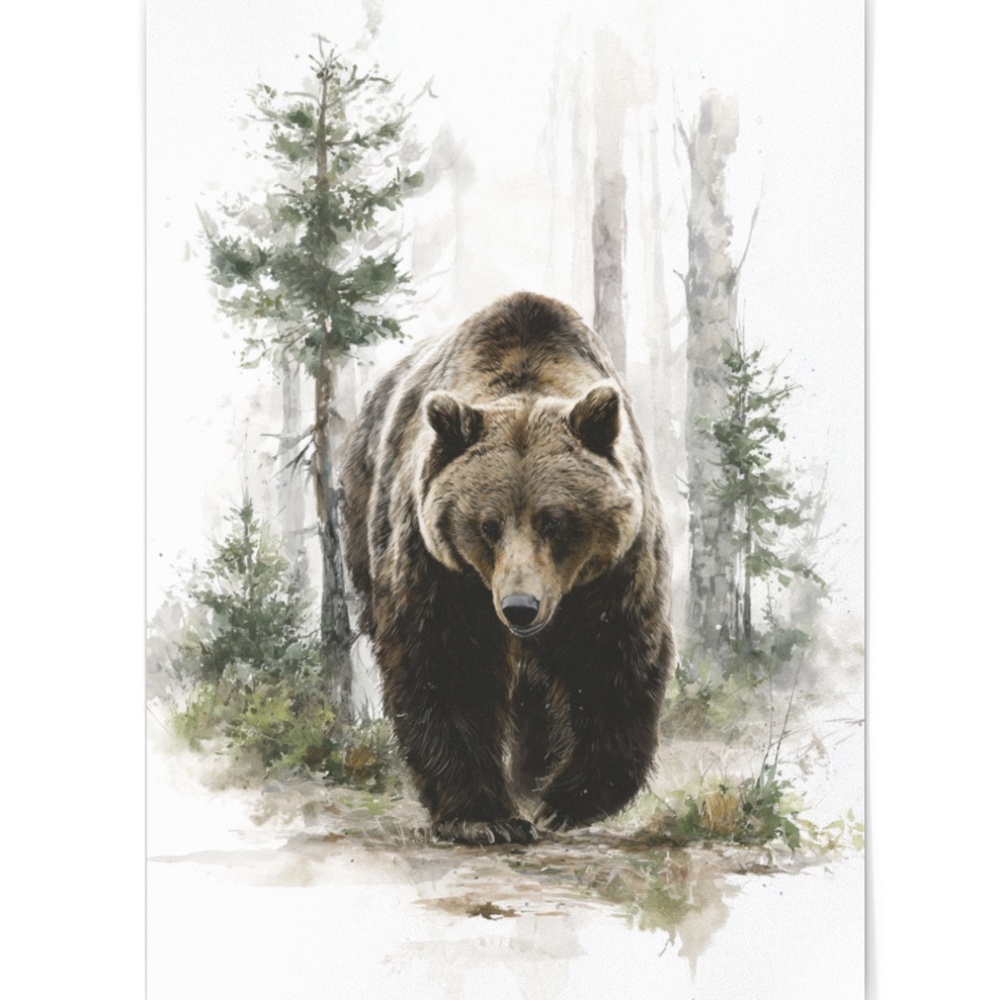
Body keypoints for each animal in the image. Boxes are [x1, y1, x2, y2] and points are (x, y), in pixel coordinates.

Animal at [342, 291, 674, 845]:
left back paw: (534, 774)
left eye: (555, 520)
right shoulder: (440, 569)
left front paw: (565, 800)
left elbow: (614, 661)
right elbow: (447, 663)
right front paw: (484, 817)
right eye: (488, 524)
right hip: (362, 515)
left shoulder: (613, 573)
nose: (520, 607)